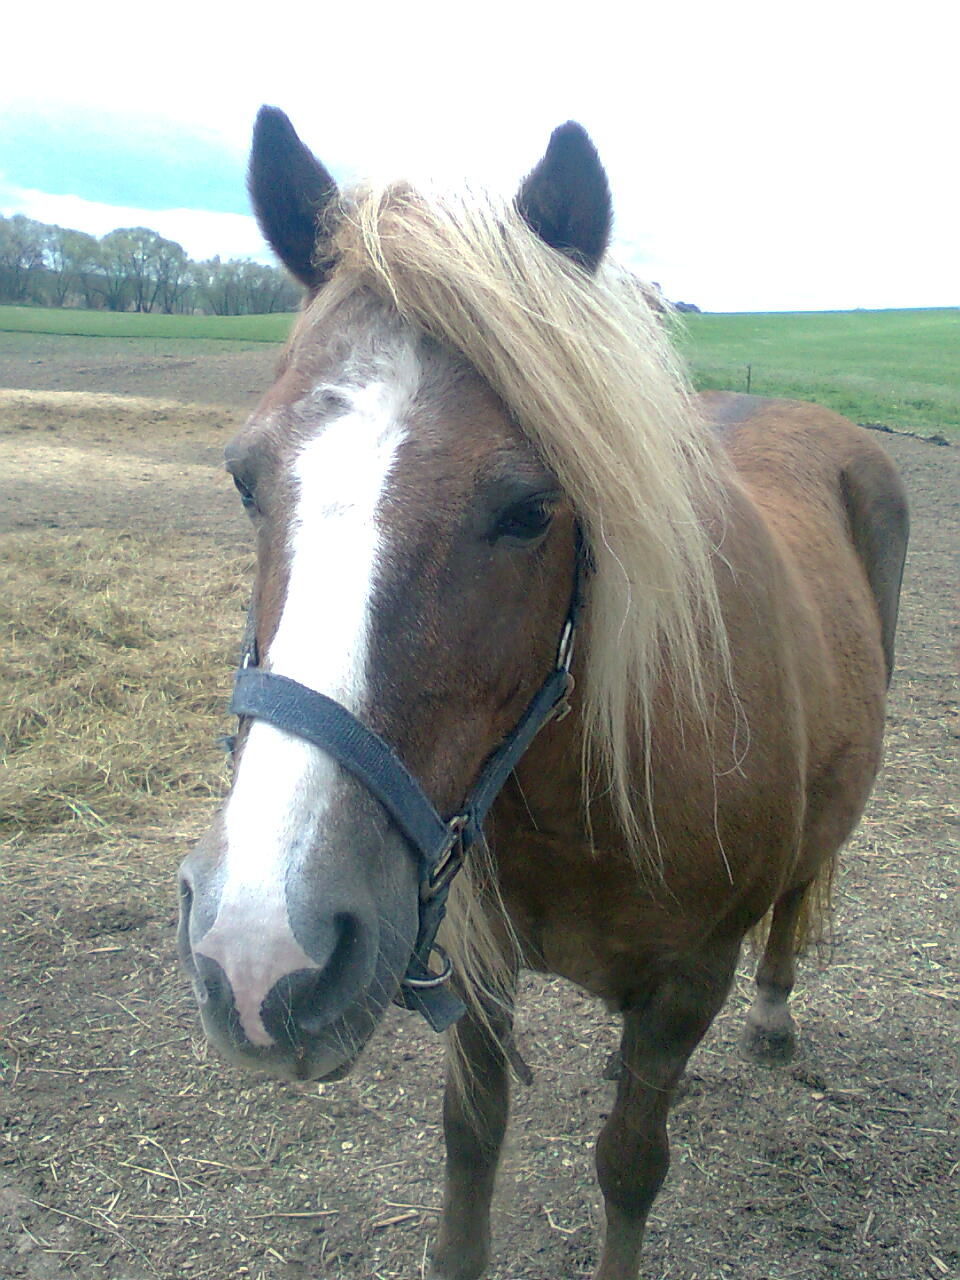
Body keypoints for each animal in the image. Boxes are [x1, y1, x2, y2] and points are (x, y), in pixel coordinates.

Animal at [179, 104, 911, 1274]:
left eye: (529, 509)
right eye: (246, 480)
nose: (257, 950)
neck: (598, 785)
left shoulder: (688, 980)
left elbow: (630, 1164)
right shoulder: (476, 964)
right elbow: (472, 1142)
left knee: (804, 886)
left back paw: (774, 1012)